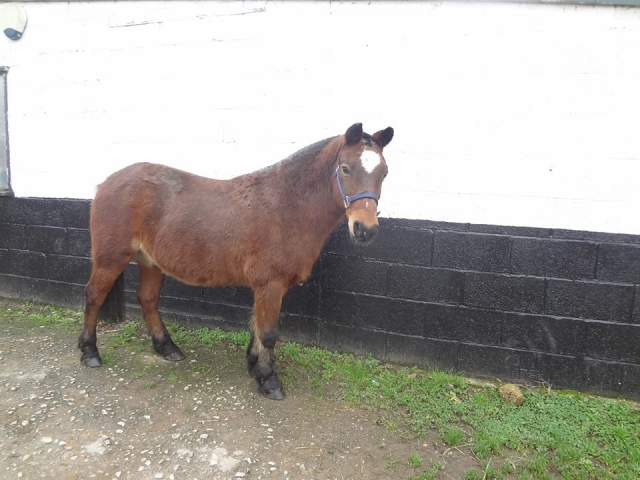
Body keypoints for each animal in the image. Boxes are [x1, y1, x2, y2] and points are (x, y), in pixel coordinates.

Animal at [78, 122, 394, 400]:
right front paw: (269, 380)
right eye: (345, 168)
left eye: (385, 172)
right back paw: (90, 352)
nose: (365, 229)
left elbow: (256, 326)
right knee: (94, 296)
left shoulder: (264, 286)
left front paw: (254, 365)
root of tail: (106, 182)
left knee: (147, 299)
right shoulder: (270, 284)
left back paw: (167, 347)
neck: (286, 205)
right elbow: (268, 333)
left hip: (151, 262)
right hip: (110, 259)